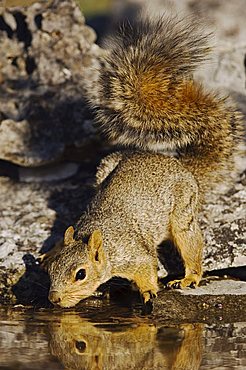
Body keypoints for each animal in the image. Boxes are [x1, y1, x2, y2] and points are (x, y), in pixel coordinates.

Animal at [45, 15, 241, 310]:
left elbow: (148, 268)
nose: (54, 299)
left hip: (182, 212)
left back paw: (189, 277)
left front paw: (148, 291)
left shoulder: (135, 254)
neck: (103, 242)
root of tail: (184, 167)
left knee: (191, 243)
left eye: (81, 274)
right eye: (51, 269)